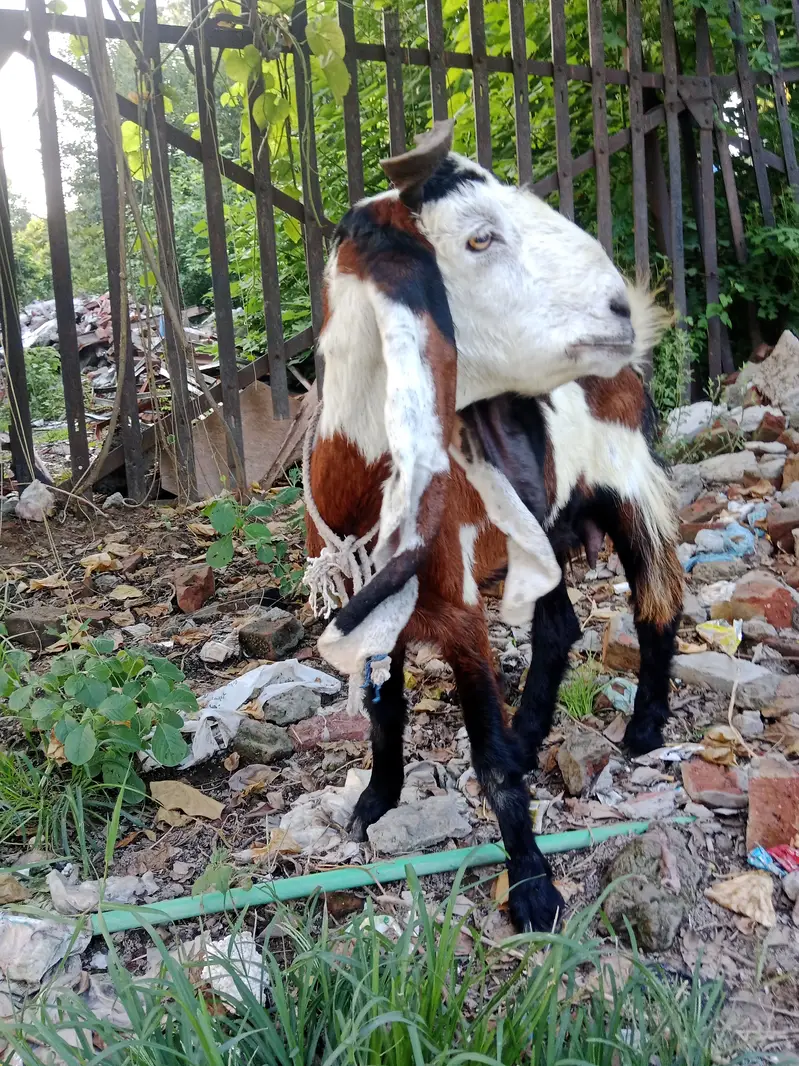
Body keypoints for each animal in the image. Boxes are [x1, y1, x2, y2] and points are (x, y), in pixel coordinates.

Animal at [306, 124, 679, 932]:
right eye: (478, 237)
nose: (619, 312)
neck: (360, 491)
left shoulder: (459, 609)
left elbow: (488, 758)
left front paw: (534, 888)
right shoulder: (383, 608)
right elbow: (385, 712)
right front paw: (374, 803)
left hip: (629, 483)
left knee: (656, 602)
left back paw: (642, 731)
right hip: (542, 526)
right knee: (559, 624)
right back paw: (533, 730)